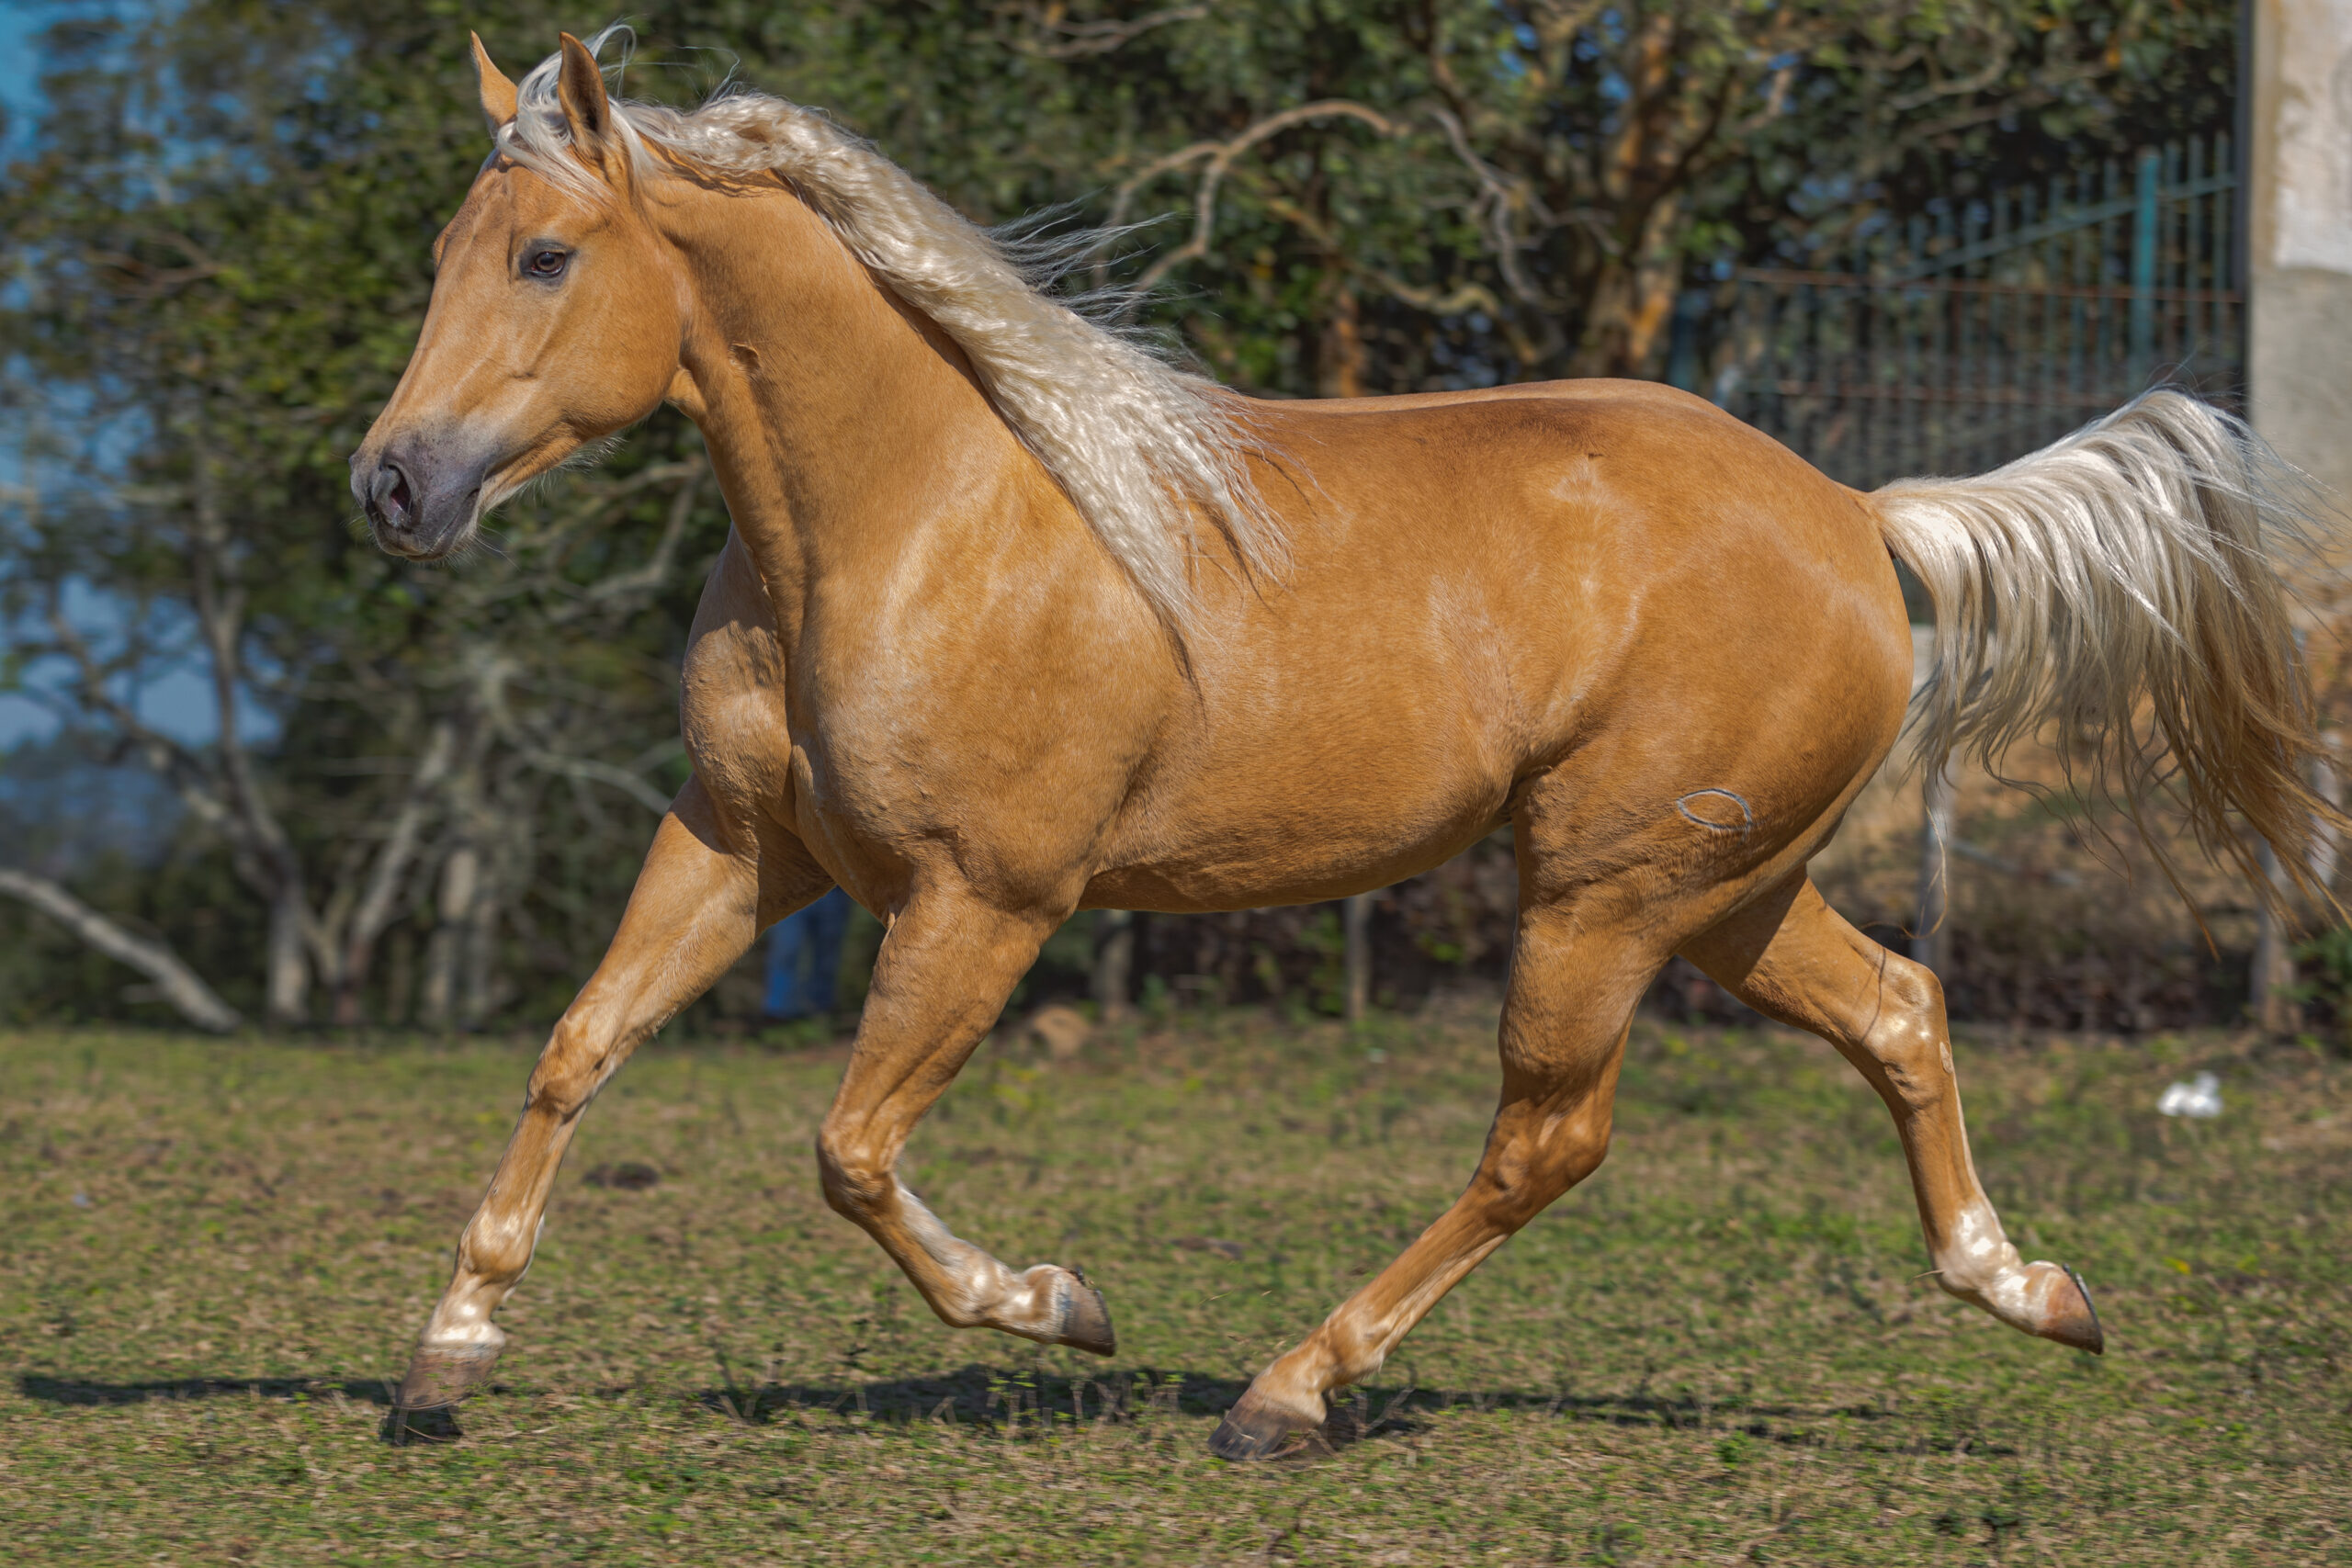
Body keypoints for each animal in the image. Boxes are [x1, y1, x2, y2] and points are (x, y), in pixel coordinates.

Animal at [352, 30, 2337, 1458]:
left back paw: (1285, 1391)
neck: (912, 517)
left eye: (547, 254)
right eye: (441, 253)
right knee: (1902, 1013)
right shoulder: (742, 844)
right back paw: (2037, 1292)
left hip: (1605, 897)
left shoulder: (985, 899)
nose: (394, 486)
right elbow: (577, 1045)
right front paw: (446, 1355)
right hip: (1723, 893)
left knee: (1549, 1140)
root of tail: (1861, 514)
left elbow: (848, 1148)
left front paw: (1058, 1303)